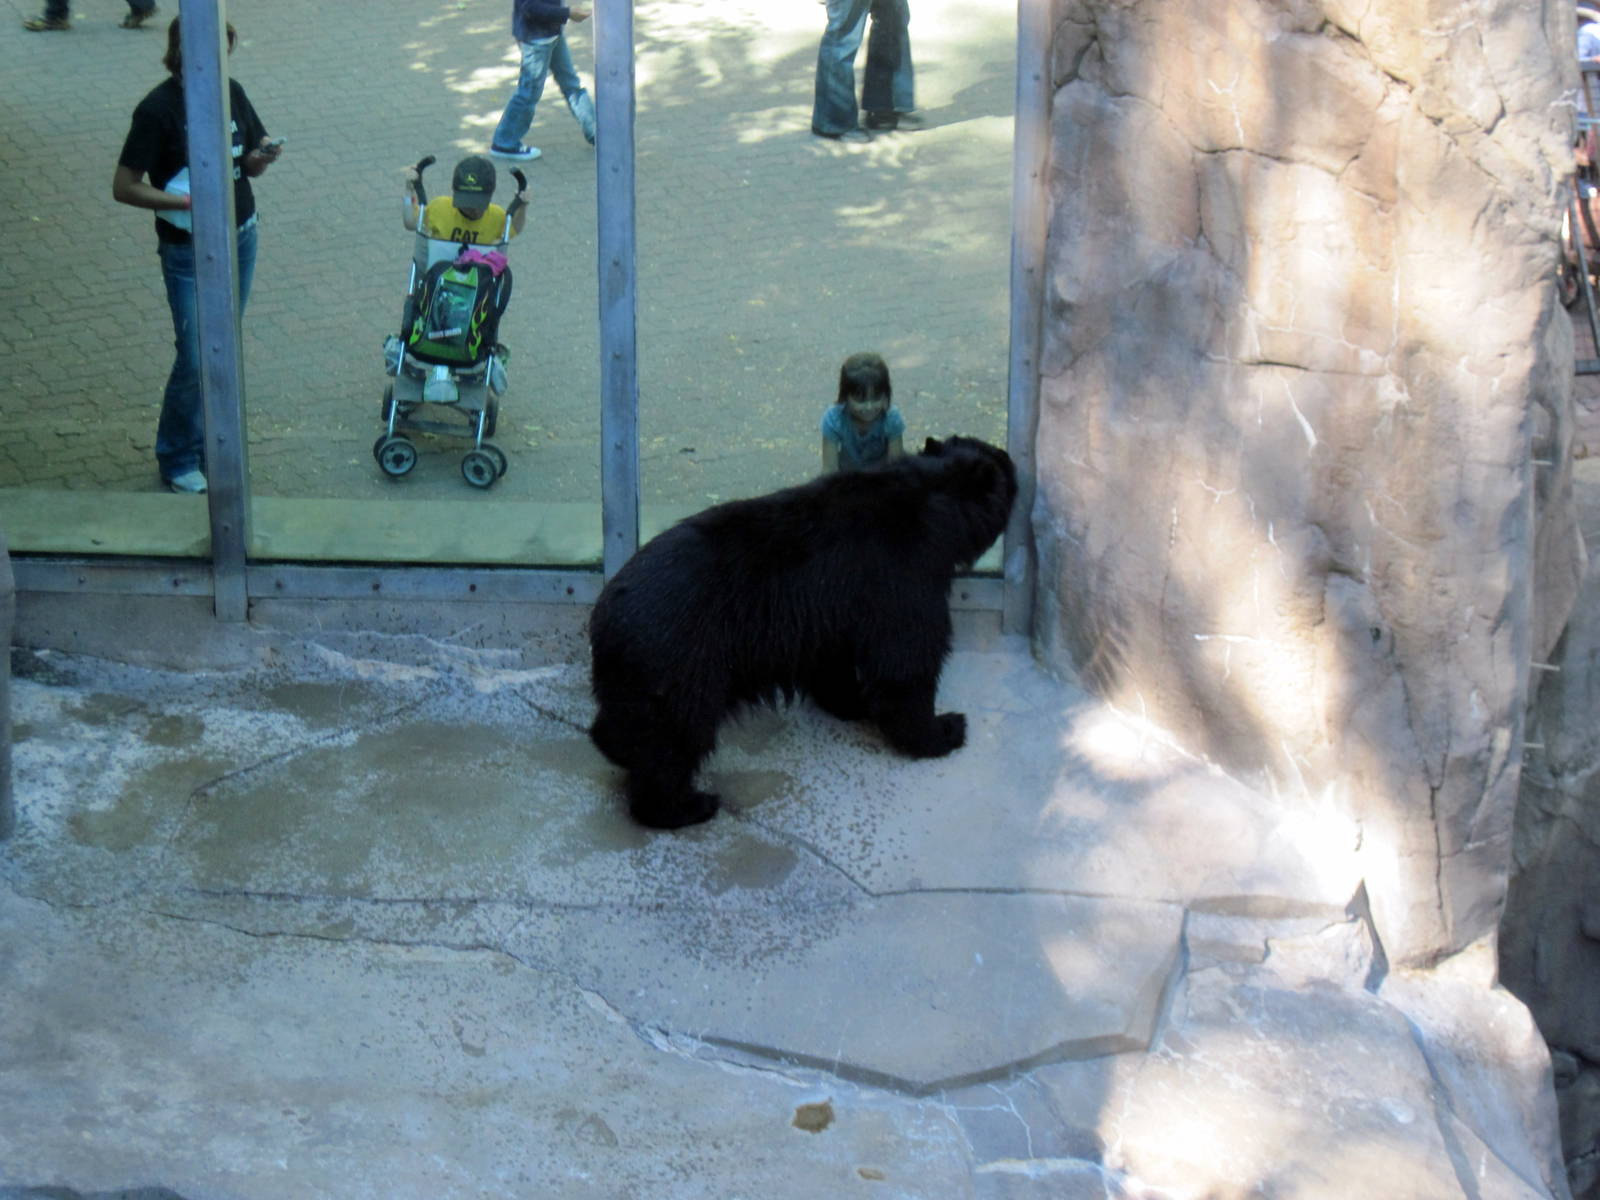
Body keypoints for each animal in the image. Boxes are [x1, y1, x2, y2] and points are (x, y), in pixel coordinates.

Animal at [587, 435, 1018, 830]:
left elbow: (835, 657)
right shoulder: (902, 573)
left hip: (640, 679)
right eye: (1005, 464)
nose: (1013, 460)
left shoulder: (831, 608)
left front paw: (853, 701)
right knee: (674, 738)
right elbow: (906, 660)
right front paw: (945, 729)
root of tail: (605, 619)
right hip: (682, 663)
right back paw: (687, 806)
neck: (932, 497)